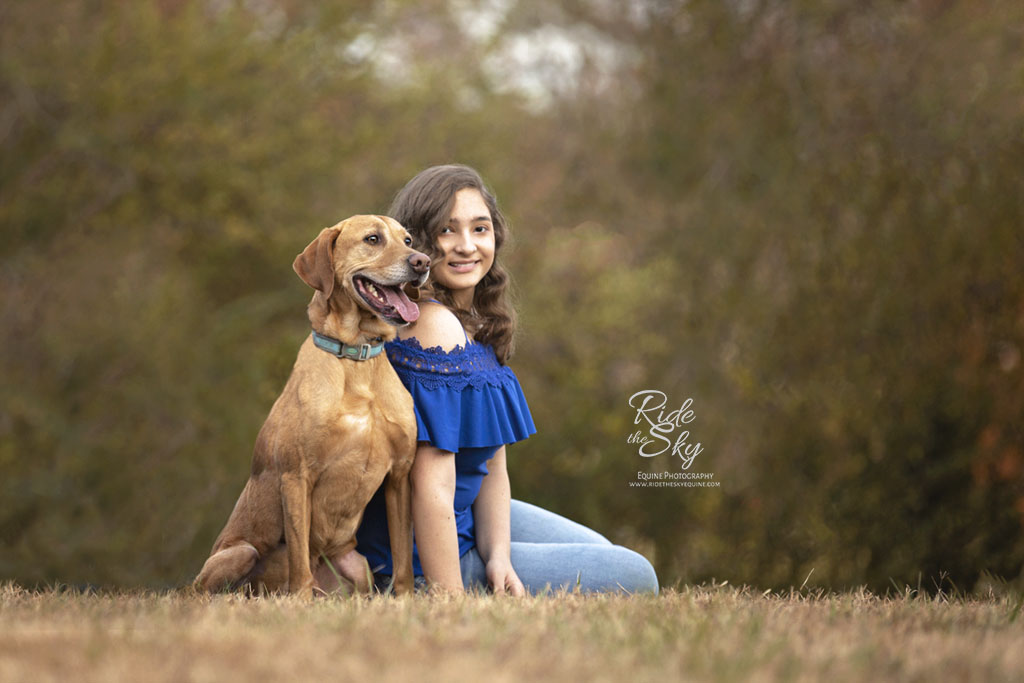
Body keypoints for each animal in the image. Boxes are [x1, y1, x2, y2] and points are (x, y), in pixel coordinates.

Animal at [192, 215, 428, 598]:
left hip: (359, 568)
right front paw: (299, 600)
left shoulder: (399, 476)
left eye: (407, 240)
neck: (357, 360)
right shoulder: (296, 475)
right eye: (372, 239)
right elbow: (299, 556)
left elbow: (404, 555)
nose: (422, 262)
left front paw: (405, 599)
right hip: (238, 553)